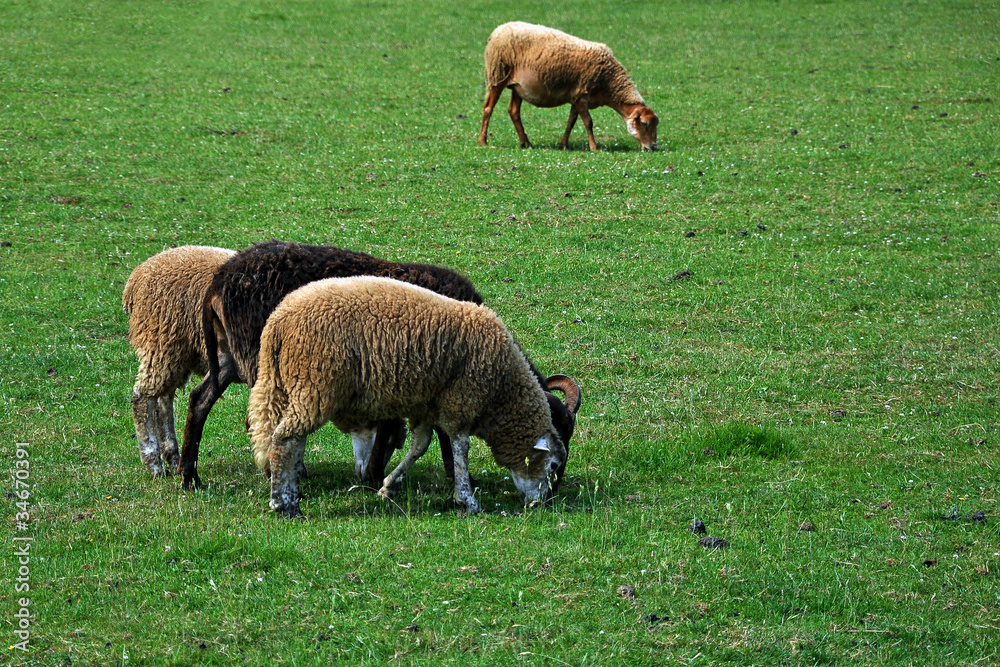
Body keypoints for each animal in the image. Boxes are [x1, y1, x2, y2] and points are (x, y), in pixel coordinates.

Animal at [120, 245, 234, 474]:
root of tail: (137, 277)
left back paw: (172, 457)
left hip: (178, 352)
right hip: (160, 343)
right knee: (142, 398)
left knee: (163, 400)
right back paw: (154, 463)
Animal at [246, 276, 568, 516]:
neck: (502, 391)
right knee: (285, 439)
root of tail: (277, 322)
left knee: (285, 438)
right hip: (315, 384)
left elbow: (419, 446)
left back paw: (291, 492)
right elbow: (460, 448)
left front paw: (389, 486)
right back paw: (285, 505)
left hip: (286, 385)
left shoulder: (427, 406)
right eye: (552, 466)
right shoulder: (461, 400)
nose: (540, 505)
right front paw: (467, 500)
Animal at [476, 21, 656, 151]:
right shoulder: (581, 96)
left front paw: (563, 145)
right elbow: (588, 122)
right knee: (488, 108)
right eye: (645, 124)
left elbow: (571, 121)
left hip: (518, 86)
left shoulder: (576, 97)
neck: (609, 83)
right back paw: (483, 141)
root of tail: (497, 30)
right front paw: (594, 147)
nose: (653, 147)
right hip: (497, 75)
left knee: (514, 112)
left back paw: (526, 143)